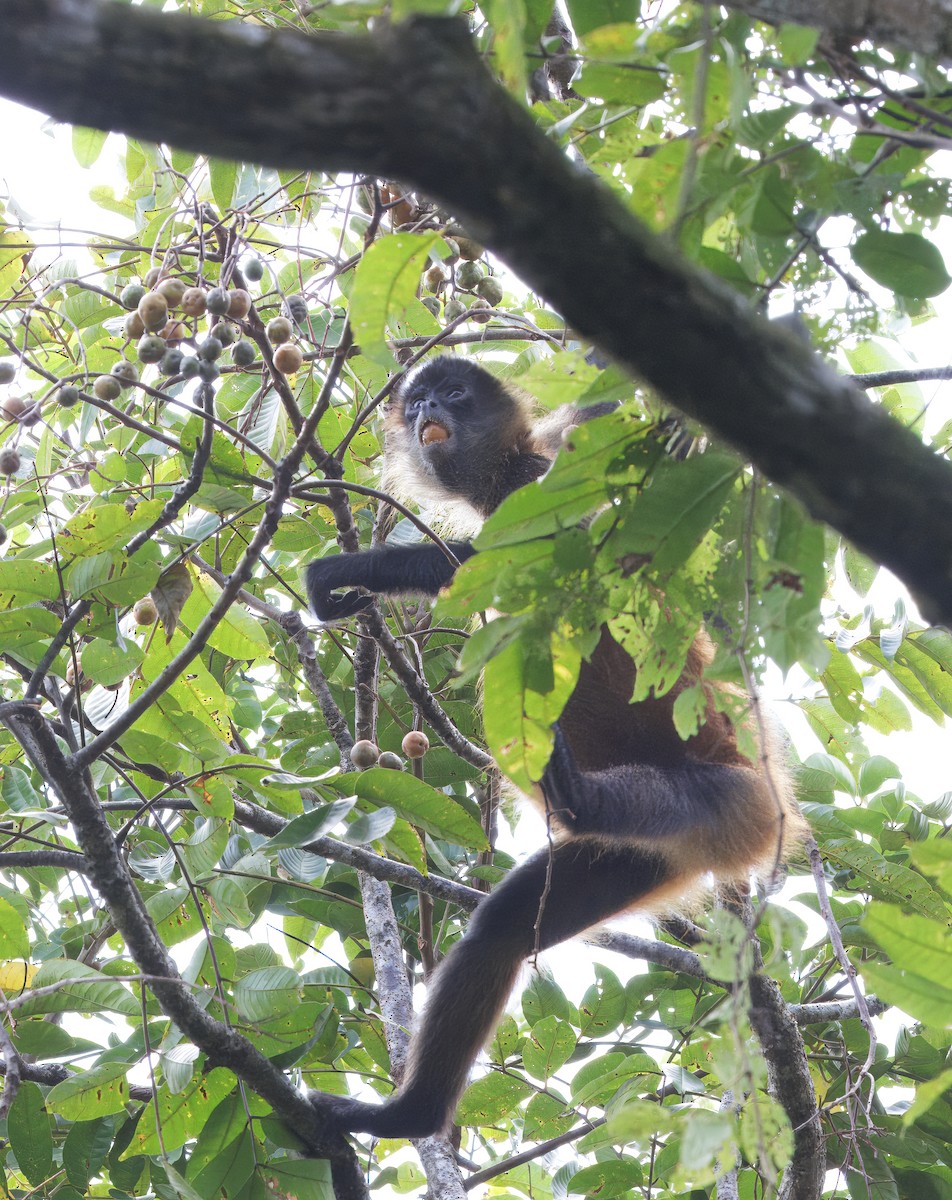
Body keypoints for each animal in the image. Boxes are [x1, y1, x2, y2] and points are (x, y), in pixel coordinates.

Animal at [305, 355, 805, 1140]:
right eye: (416, 403)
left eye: (454, 395)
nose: (426, 413)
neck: (505, 474)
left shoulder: (542, 478)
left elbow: (555, 554)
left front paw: (359, 572)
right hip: (640, 856)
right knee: (503, 929)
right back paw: (411, 1116)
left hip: (730, 800)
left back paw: (577, 796)